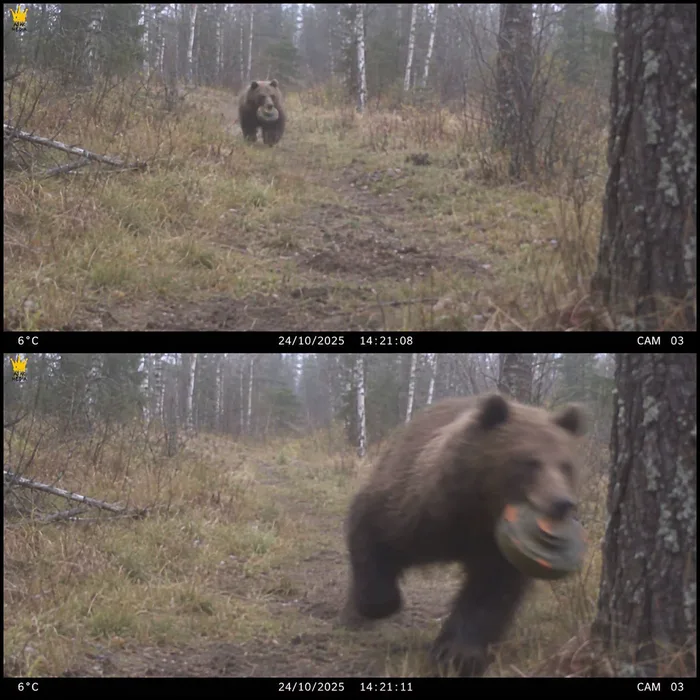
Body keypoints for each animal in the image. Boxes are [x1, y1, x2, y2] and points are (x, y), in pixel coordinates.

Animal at [341, 393, 586, 677]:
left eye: (566, 466)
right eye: (530, 462)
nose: (562, 503)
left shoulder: (496, 548)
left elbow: (488, 593)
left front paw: (457, 655)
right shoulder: (414, 509)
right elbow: (373, 531)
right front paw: (380, 604)